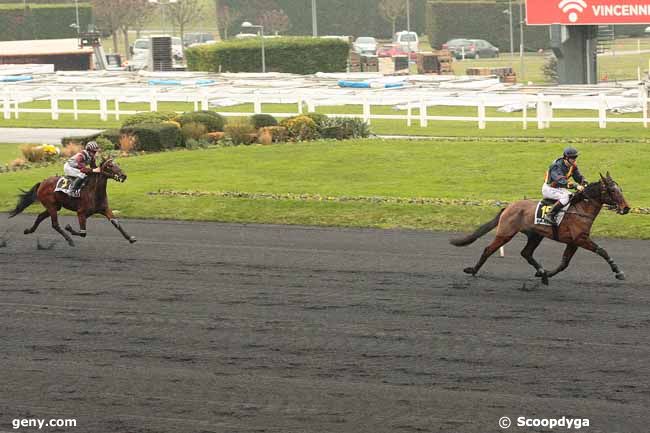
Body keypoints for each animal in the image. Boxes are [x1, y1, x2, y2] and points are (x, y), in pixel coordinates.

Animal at [7, 159, 137, 246]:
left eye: (118, 164)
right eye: (110, 166)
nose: (123, 175)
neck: (93, 191)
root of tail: (42, 182)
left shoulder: (104, 209)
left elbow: (116, 223)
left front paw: (130, 238)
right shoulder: (81, 212)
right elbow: (83, 232)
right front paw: (69, 228)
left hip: (55, 206)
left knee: (40, 216)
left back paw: (28, 230)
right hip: (51, 206)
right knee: (55, 224)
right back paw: (69, 240)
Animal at [450, 172, 628, 284]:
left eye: (620, 189)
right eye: (612, 190)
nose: (626, 208)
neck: (581, 209)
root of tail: (509, 206)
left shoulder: (573, 242)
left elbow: (564, 263)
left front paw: (547, 273)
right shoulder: (581, 239)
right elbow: (602, 251)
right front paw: (618, 272)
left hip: (535, 235)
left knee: (526, 253)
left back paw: (542, 273)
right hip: (506, 233)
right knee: (488, 249)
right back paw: (473, 270)